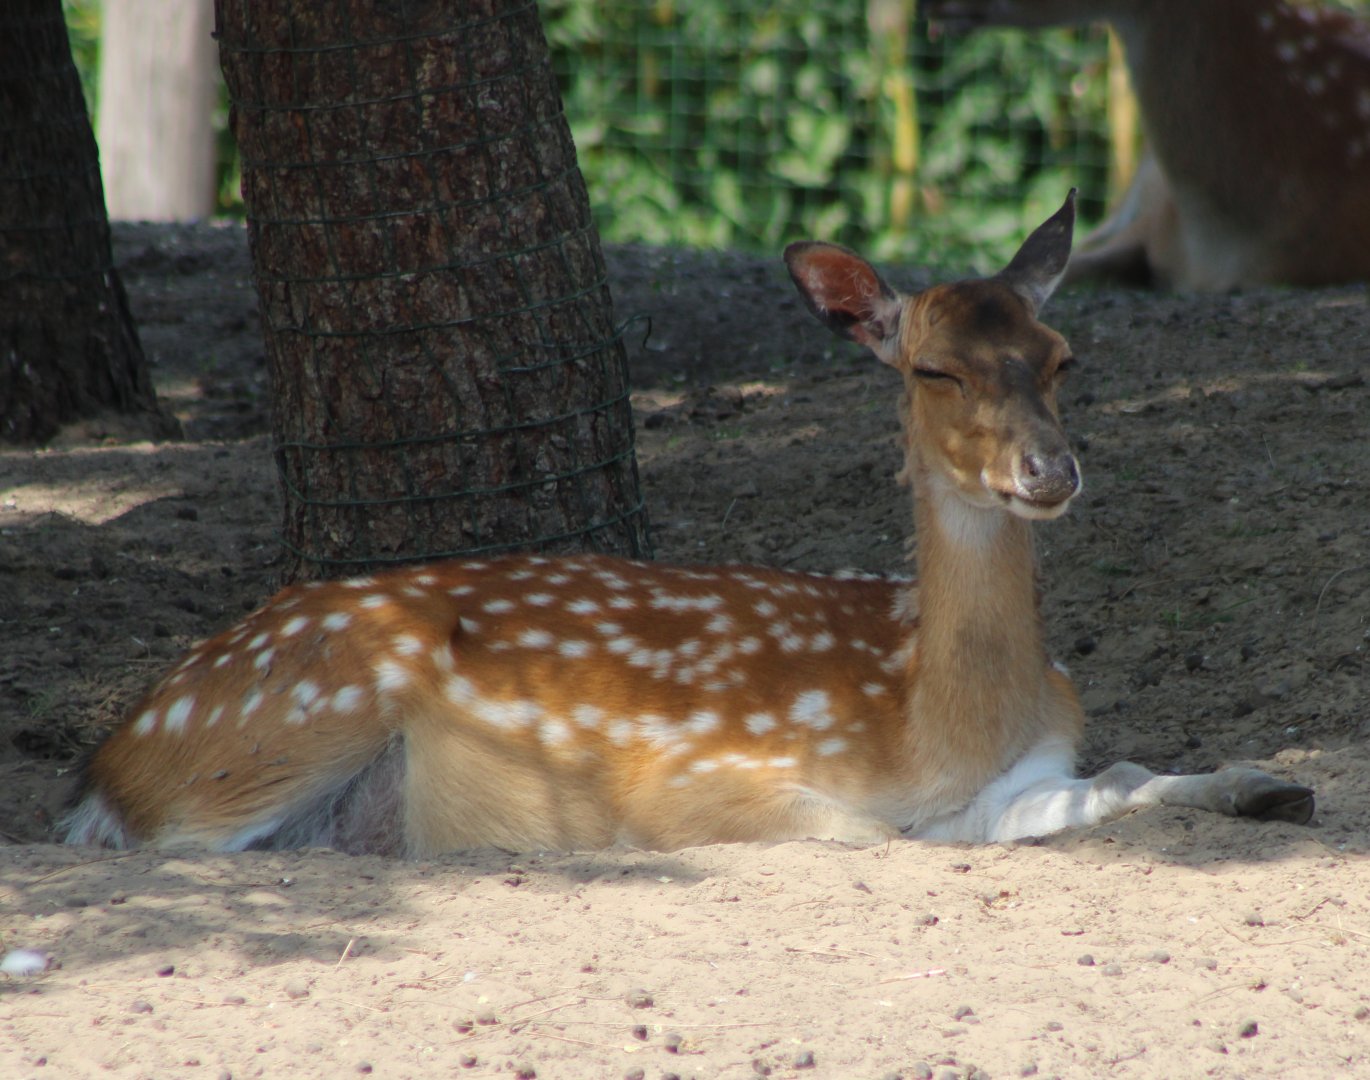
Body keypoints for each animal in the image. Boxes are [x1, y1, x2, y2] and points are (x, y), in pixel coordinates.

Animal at [62, 192, 1314, 857]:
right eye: (932, 370)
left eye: (1060, 357)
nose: (1047, 470)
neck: (931, 722)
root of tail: (109, 757)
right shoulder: (706, 775)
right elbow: (886, 835)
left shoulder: (1042, 760)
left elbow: (1110, 774)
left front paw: (1262, 783)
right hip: (294, 716)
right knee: (172, 847)